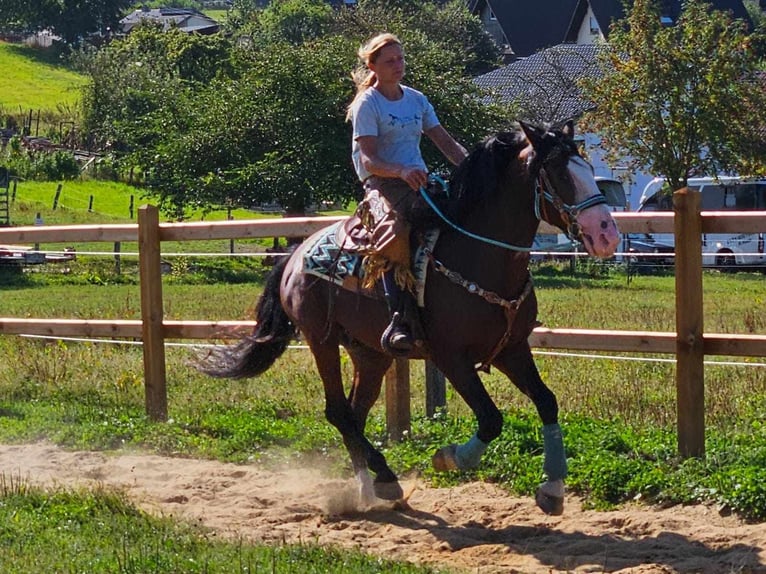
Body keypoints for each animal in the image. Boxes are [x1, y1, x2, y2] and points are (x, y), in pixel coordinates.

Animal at [195, 121, 620, 516]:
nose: (607, 235)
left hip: (371, 354)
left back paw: (371, 489)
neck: (480, 257)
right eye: (559, 174)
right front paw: (448, 457)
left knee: (354, 414)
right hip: (322, 340)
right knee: (339, 412)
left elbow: (547, 402)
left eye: (586, 167)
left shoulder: (510, 349)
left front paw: (552, 489)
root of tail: (295, 256)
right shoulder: (450, 357)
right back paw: (383, 481)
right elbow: (490, 419)